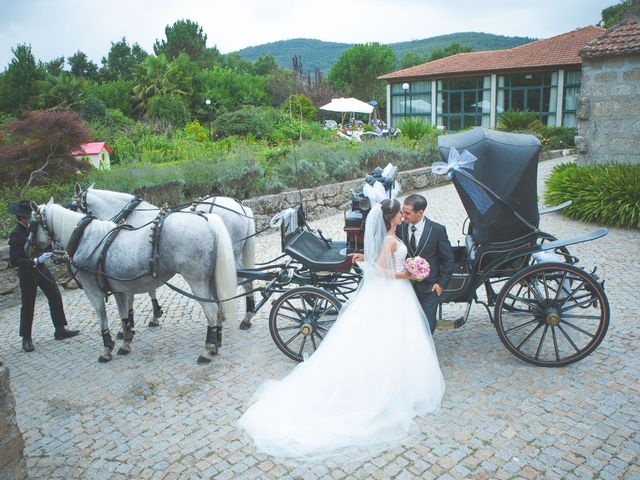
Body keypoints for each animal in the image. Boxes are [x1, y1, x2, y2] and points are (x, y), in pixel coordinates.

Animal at [31, 200, 238, 364]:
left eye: (32, 223)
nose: (27, 248)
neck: (87, 238)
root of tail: (206, 219)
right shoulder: (119, 289)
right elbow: (123, 315)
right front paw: (126, 341)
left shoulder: (93, 291)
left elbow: (102, 317)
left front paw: (107, 348)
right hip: (211, 279)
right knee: (219, 307)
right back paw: (216, 343)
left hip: (196, 280)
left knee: (211, 310)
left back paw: (207, 349)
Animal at [73, 184, 258, 330]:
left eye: (72, 206)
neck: (133, 214)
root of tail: (241, 207)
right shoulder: (140, 266)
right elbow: (149, 289)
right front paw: (154, 314)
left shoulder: (128, 266)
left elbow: (133, 293)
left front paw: (131, 321)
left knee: (245, 282)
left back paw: (246, 317)